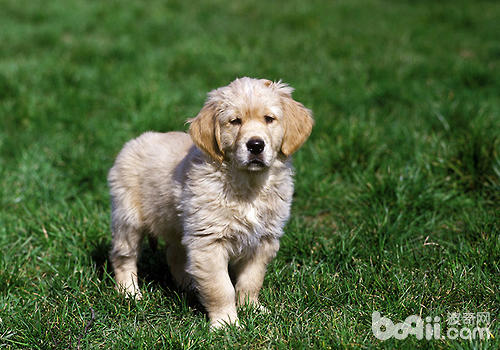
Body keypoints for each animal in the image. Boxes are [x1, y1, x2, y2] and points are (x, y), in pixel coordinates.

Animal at [109, 77, 312, 328]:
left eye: (269, 119)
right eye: (235, 121)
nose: (256, 145)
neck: (247, 184)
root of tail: (133, 142)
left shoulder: (263, 239)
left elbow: (251, 280)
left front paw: (252, 308)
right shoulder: (209, 241)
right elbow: (220, 287)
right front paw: (227, 324)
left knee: (175, 254)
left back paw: (189, 287)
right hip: (128, 217)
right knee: (123, 257)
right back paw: (129, 293)